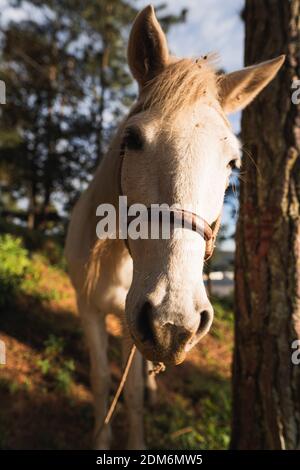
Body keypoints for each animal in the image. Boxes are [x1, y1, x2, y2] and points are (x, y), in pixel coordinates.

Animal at [65, 4, 284, 452]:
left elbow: (131, 392)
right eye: (132, 139)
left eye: (232, 162)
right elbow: (100, 380)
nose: (172, 322)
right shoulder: (89, 308)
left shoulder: (131, 323)